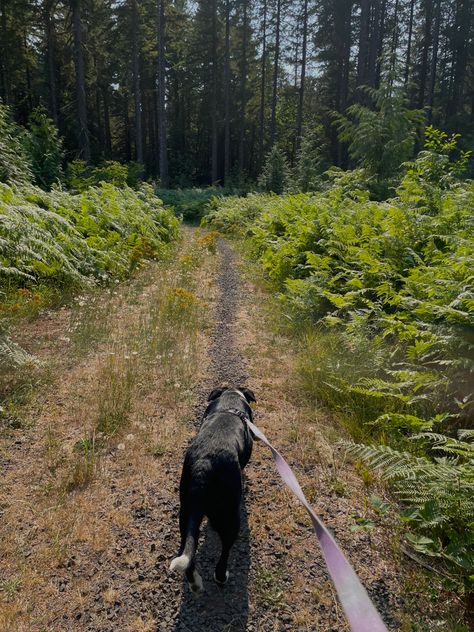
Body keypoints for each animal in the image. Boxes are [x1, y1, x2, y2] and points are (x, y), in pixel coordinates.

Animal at [169, 386, 256, 592]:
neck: (230, 402)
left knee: (187, 548)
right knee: (225, 551)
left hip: (186, 514)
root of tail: (204, 466)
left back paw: (195, 583)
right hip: (230, 517)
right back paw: (221, 577)